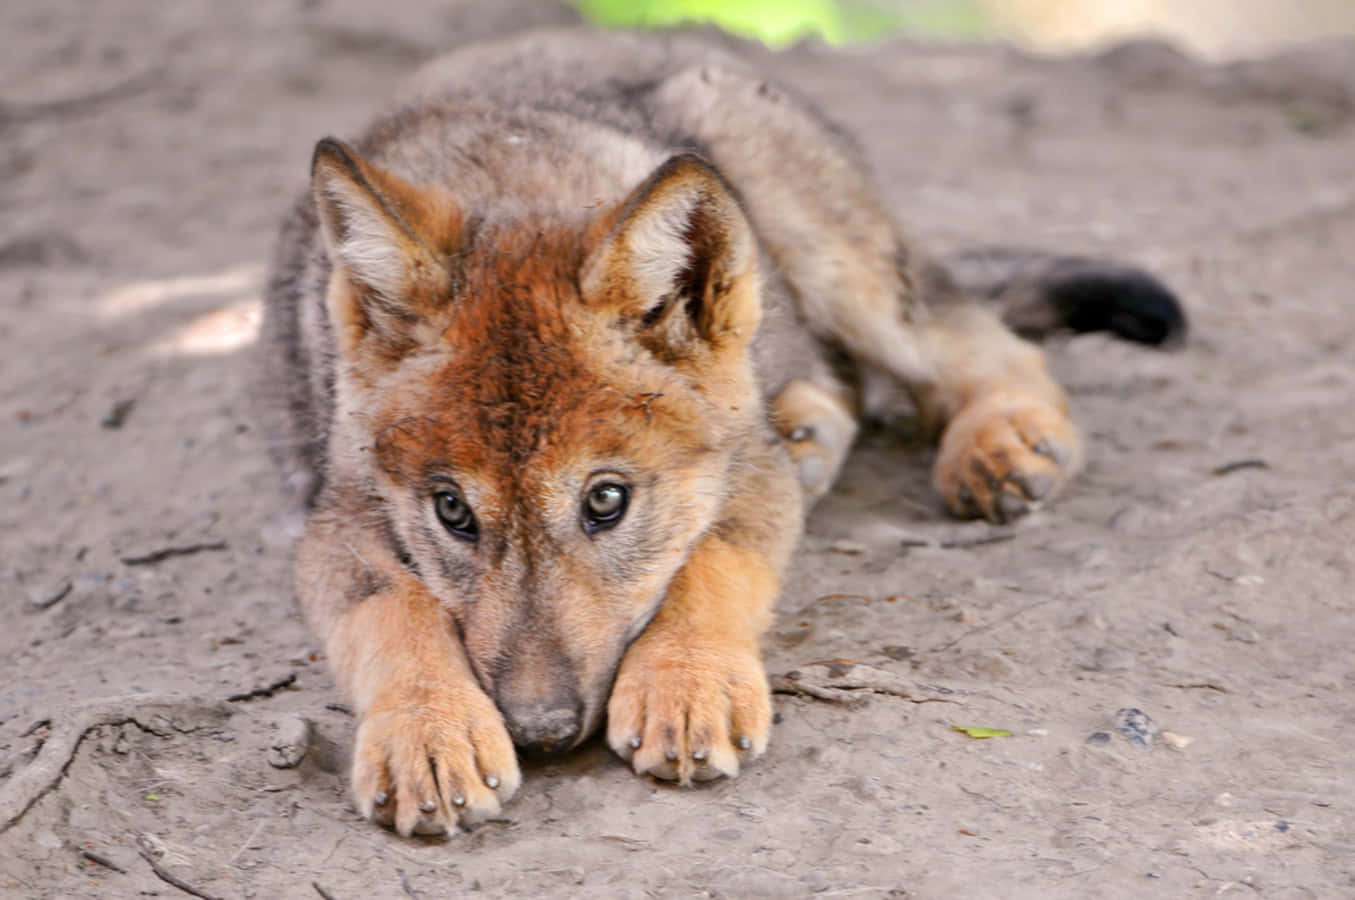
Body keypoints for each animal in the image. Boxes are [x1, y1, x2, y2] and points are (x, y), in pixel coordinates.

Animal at [259, 27, 1184, 836]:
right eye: (452, 511)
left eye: (605, 502)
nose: (540, 730)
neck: (513, 170)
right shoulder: (336, 524)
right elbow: (396, 612)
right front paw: (427, 735)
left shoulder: (746, 475)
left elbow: (710, 563)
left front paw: (685, 685)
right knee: (846, 378)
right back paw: (813, 431)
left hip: (850, 275)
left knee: (986, 346)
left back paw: (997, 445)